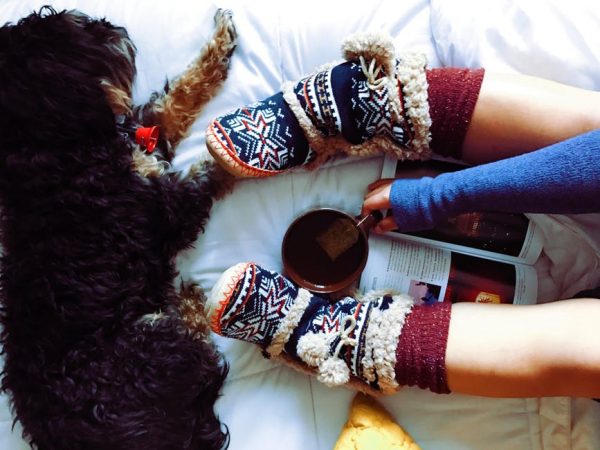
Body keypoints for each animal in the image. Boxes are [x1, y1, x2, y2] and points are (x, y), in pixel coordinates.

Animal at [0, 4, 238, 450]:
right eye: (68, 35)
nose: (112, 29)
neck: (53, 146)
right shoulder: (166, 208)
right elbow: (211, 168)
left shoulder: (146, 138)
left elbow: (178, 97)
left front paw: (221, 41)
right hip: (155, 337)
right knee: (200, 341)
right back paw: (189, 299)